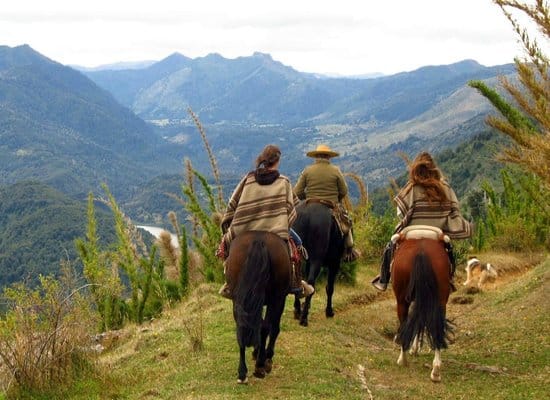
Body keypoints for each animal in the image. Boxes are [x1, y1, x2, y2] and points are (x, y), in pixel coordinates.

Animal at [224, 231, 294, 384]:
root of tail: (258, 238)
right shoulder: (281, 298)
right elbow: (274, 328)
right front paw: (266, 357)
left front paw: (256, 352)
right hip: (276, 297)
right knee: (267, 327)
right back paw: (261, 365)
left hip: (239, 299)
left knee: (242, 326)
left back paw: (242, 373)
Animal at [394, 227, 454, 382]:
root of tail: (421, 251)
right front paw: (415, 348)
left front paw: (413, 349)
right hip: (439, 299)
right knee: (436, 326)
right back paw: (436, 370)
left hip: (402, 299)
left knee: (405, 322)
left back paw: (403, 359)